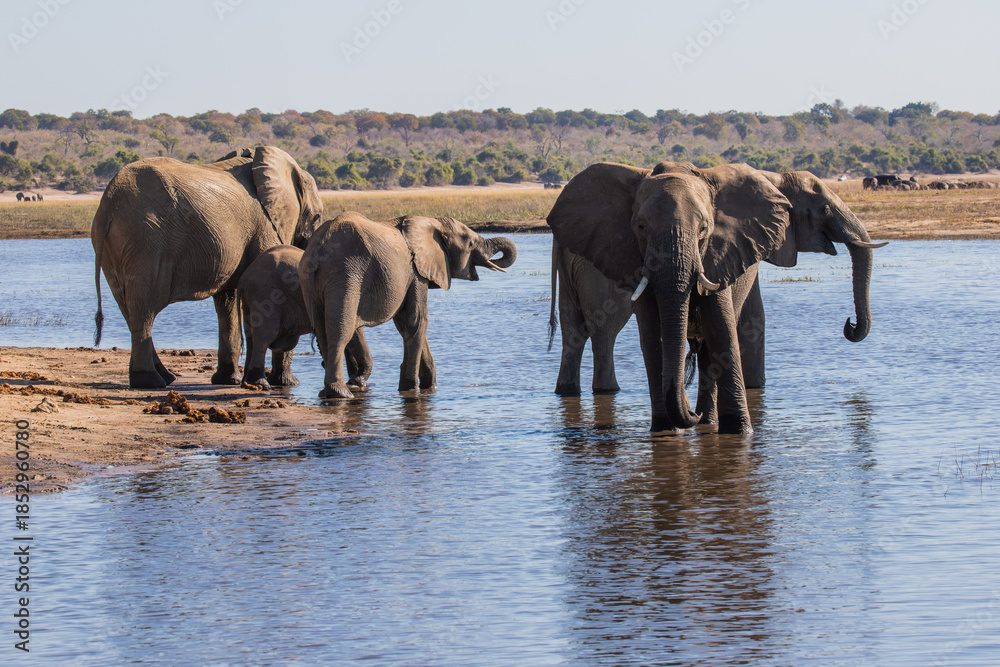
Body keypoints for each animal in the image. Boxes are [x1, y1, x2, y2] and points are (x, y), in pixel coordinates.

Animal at [299, 212, 517, 399]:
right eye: (470, 243)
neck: (432, 222)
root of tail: (317, 248)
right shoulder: (415, 272)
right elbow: (417, 320)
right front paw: (410, 390)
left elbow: (406, 324)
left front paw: (430, 388)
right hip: (346, 274)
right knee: (341, 329)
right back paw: (340, 393)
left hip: (310, 282)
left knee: (323, 330)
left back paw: (332, 390)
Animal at [548, 163, 887, 431]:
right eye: (640, 227)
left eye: (704, 228)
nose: (849, 325)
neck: (775, 178)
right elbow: (734, 324)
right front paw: (671, 429)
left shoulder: (729, 249)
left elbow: (726, 326)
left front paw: (735, 429)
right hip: (596, 273)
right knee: (605, 329)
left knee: (573, 331)